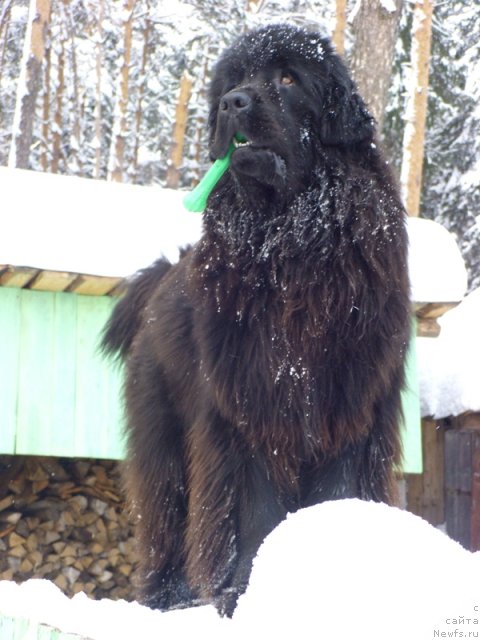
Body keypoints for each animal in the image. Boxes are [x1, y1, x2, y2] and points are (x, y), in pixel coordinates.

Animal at [103, 23, 410, 616]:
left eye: (288, 78)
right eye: (233, 82)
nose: (233, 103)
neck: (291, 245)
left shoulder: (349, 405)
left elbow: (336, 490)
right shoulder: (250, 402)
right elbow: (255, 508)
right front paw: (247, 592)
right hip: (163, 435)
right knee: (166, 514)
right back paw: (168, 598)